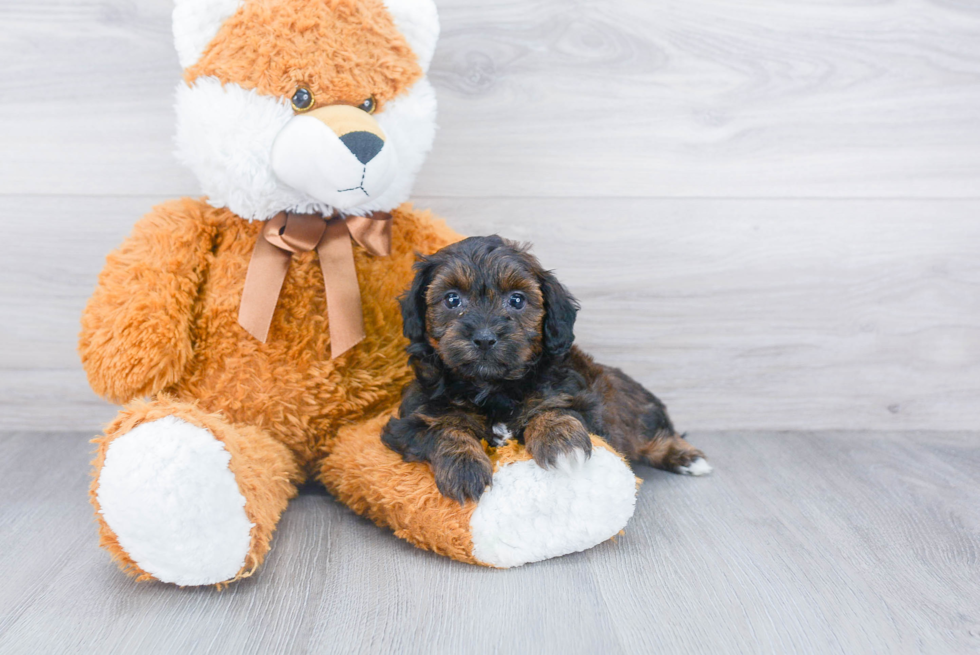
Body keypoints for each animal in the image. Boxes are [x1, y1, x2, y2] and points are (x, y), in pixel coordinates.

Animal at [378, 238, 708, 504]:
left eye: (517, 300)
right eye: (452, 299)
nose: (484, 337)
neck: (493, 387)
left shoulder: (583, 404)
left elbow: (550, 409)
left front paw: (561, 443)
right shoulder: (411, 420)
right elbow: (443, 428)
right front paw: (464, 468)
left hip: (632, 407)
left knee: (651, 433)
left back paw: (688, 458)